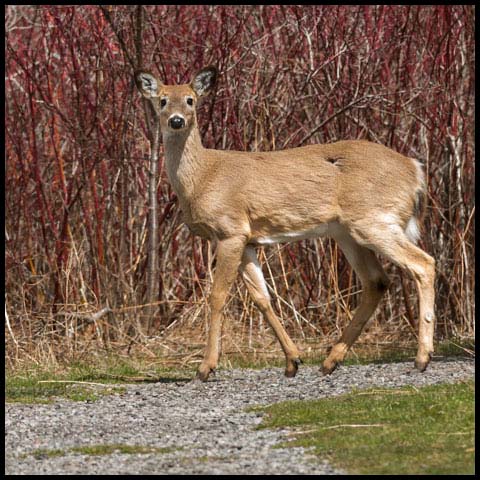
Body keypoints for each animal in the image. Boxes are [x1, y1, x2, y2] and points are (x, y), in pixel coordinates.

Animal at [134, 66, 436, 382]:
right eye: (163, 100)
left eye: (190, 100)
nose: (176, 120)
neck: (203, 177)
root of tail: (415, 170)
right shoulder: (248, 239)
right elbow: (262, 297)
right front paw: (293, 360)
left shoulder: (229, 230)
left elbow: (218, 296)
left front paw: (206, 367)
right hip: (348, 232)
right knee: (377, 281)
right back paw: (331, 361)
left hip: (374, 219)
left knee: (423, 263)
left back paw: (422, 357)